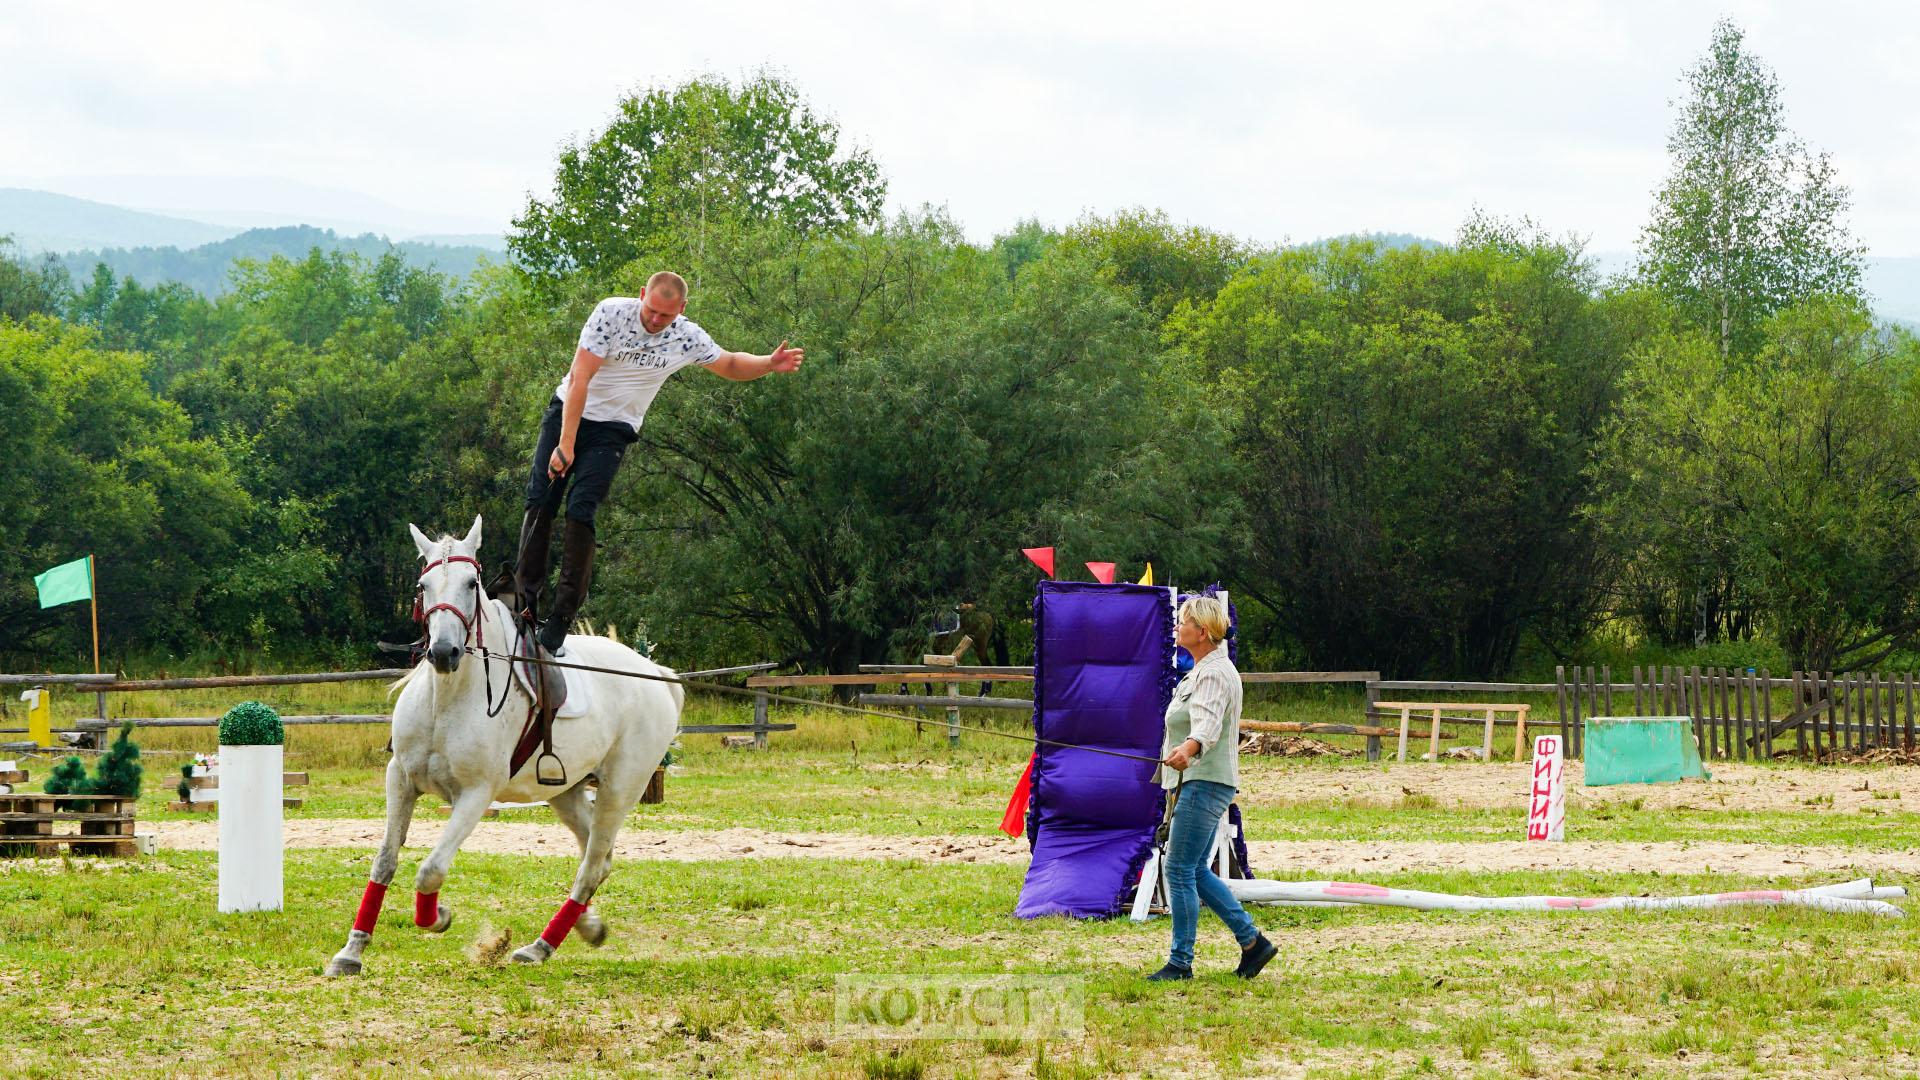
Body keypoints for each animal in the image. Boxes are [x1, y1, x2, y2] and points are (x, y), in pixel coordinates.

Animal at [328, 515, 683, 976]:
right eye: (424, 586)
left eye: (470, 584)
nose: (443, 652)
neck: (448, 697)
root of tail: (655, 673)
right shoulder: (400, 780)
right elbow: (385, 861)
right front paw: (351, 951)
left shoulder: (476, 794)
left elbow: (431, 870)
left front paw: (438, 917)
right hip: (567, 792)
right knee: (599, 857)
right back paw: (581, 927)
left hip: (620, 789)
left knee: (591, 864)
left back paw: (541, 946)